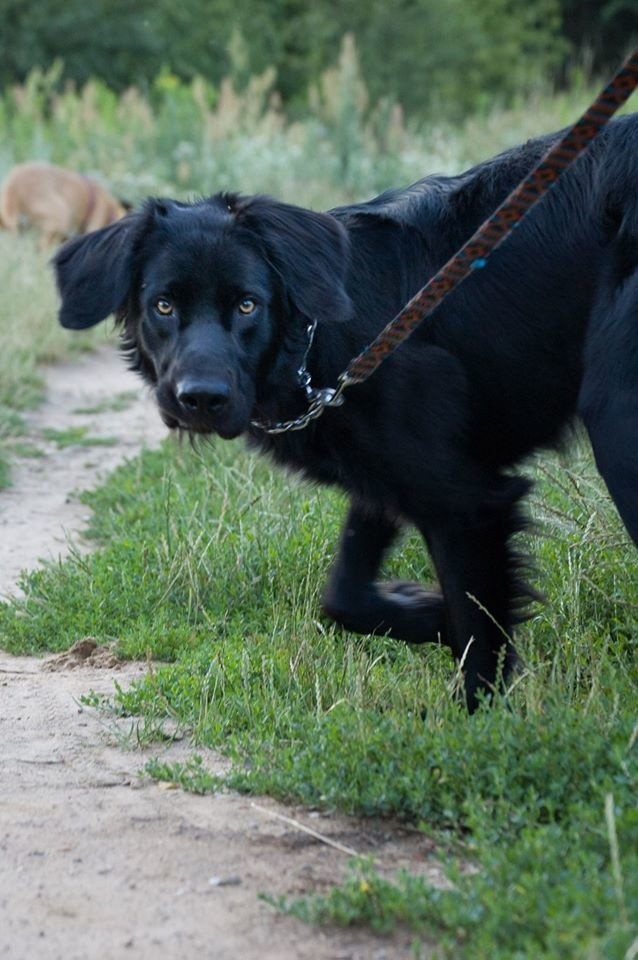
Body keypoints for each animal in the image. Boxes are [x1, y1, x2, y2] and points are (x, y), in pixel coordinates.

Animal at [53, 114, 638, 712]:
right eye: (164, 306)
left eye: (247, 304)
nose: (201, 399)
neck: (317, 346)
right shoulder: (388, 480)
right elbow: (346, 597)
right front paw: (426, 609)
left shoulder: (468, 502)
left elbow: (477, 632)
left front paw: (481, 721)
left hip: (617, 421)